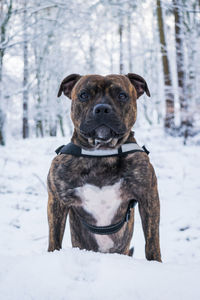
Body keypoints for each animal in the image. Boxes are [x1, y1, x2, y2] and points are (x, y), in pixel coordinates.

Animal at [47, 74, 162, 262]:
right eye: (84, 95)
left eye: (122, 95)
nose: (102, 109)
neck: (102, 154)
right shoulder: (57, 200)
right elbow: (54, 236)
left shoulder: (148, 196)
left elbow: (152, 240)